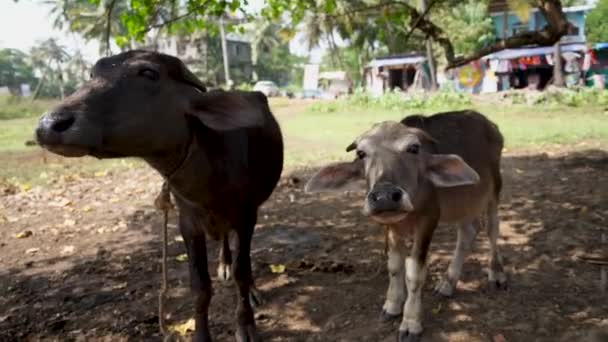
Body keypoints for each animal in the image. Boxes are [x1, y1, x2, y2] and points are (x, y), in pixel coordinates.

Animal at [36, 50, 284, 342]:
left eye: (148, 73)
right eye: (92, 74)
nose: (49, 125)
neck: (209, 176)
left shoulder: (246, 216)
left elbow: (241, 273)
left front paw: (246, 325)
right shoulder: (188, 223)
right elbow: (199, 286)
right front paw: (201, 336)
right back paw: (223, 263)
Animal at [306, 111, 506, 340]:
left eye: (413, 148)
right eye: (361, 153)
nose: (384, 196)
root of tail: (490, 125)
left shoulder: (429, 220)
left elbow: (415, 272)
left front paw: (411, 322)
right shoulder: (392, 226)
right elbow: (394, 265)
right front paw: (392, 305)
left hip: (494, 190)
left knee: (492, 229)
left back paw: (497, 273)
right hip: (465, 201)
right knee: (468, 232)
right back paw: (448, 283)